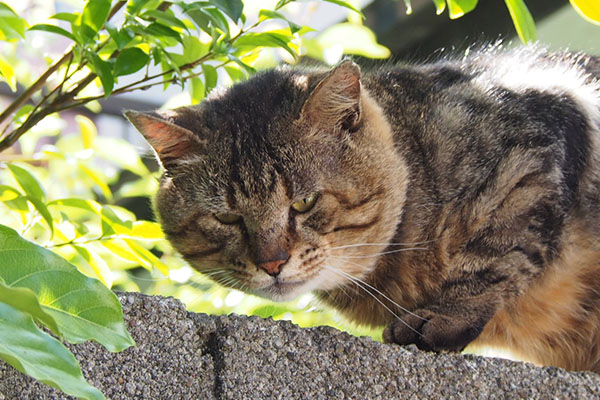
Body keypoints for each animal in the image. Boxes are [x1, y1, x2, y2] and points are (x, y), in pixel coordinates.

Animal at [126, 45, 600, 374]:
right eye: (227, 218)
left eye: (304, 202)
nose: (272, 263)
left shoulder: (532, 154)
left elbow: (497, 250)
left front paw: (445, 316)